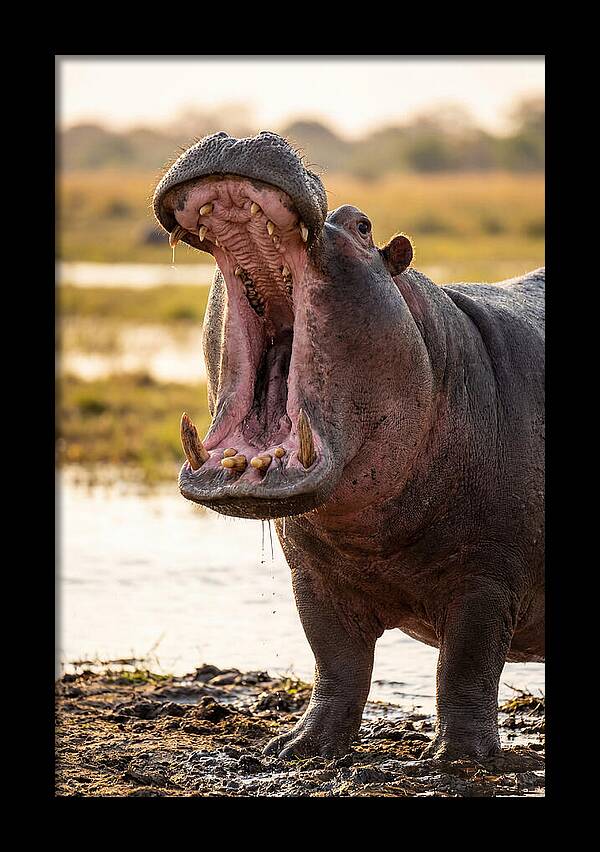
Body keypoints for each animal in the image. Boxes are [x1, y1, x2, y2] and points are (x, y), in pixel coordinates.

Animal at [153, 131, 544, 761]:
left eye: (362, 225)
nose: (242, 135)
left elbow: (466, 666)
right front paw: (300, 748)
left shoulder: (487, 580)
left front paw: (458, 759)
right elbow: (336, 661)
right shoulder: (313, 578)